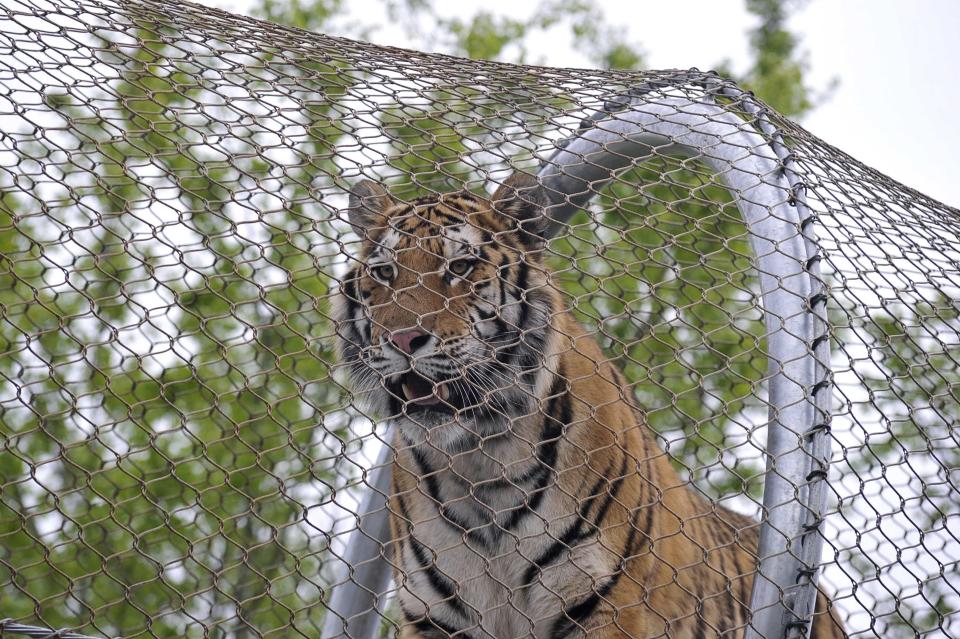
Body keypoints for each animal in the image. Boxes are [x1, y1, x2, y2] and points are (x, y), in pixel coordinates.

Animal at [334, 174, 844, 639]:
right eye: (384, 272)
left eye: (460, 266)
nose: (402, 339)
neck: (480, 458)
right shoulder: (434, 619)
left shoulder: (605, 604)